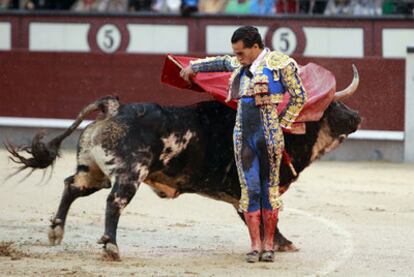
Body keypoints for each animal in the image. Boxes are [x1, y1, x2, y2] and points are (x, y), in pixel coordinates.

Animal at [5, 87, 360, 260]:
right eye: (331, 106)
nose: (357, 116)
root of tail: (114, 109)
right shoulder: (252, 188)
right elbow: (262, 214)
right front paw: (281, 244)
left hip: (94, 171)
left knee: (71, 186)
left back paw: (56, 230)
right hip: (130, 173)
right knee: (114, 203)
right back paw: (111, 247)